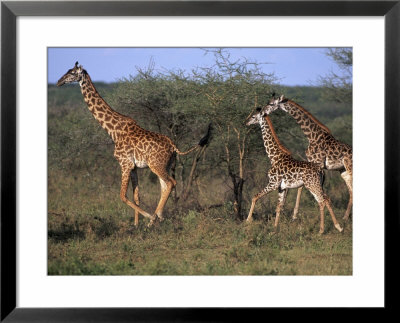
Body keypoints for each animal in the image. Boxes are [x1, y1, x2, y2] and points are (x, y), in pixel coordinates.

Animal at [58, 62, 212, 227]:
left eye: (72, 72)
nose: (59, 82)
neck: (113, 131)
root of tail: (173, 146)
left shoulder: (125, 164)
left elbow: (122, 196)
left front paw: (148, 218)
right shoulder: (133, 167)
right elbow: (136, 196)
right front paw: (136, 225)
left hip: (155, 164)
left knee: (171, 182)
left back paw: (155, 218)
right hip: (165, 165)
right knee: (165, 186)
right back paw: (159, 217)